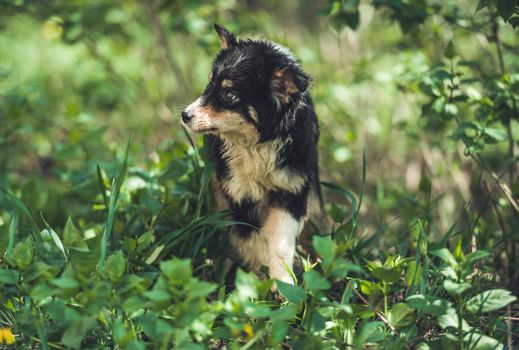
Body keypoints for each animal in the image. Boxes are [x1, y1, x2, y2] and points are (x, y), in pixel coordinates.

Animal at [183, 24, 320, 286]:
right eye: (209, 84)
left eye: (229, 95)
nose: (185, 115)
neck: (257, 143)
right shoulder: (239, 196)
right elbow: (254, 242)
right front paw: (261, 281)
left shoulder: (292, 190)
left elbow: (280, 242)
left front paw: (284, 284)